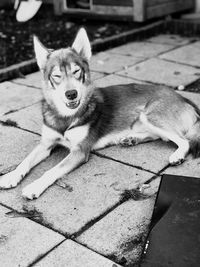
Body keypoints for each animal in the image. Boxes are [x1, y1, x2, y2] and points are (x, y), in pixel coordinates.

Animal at [0, 28, 200, 201]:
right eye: (56, 76)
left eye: (76, 71)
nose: (71, 94)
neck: (66, 117)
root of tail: (185, 99)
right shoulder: (45, 144)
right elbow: (25, 161)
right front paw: (11, 176)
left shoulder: (79, 151)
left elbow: (52, 170)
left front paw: (34, 186)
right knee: (160, 136)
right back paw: (131, 139)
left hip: (149, 114)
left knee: (183, 141)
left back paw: (176, 155)